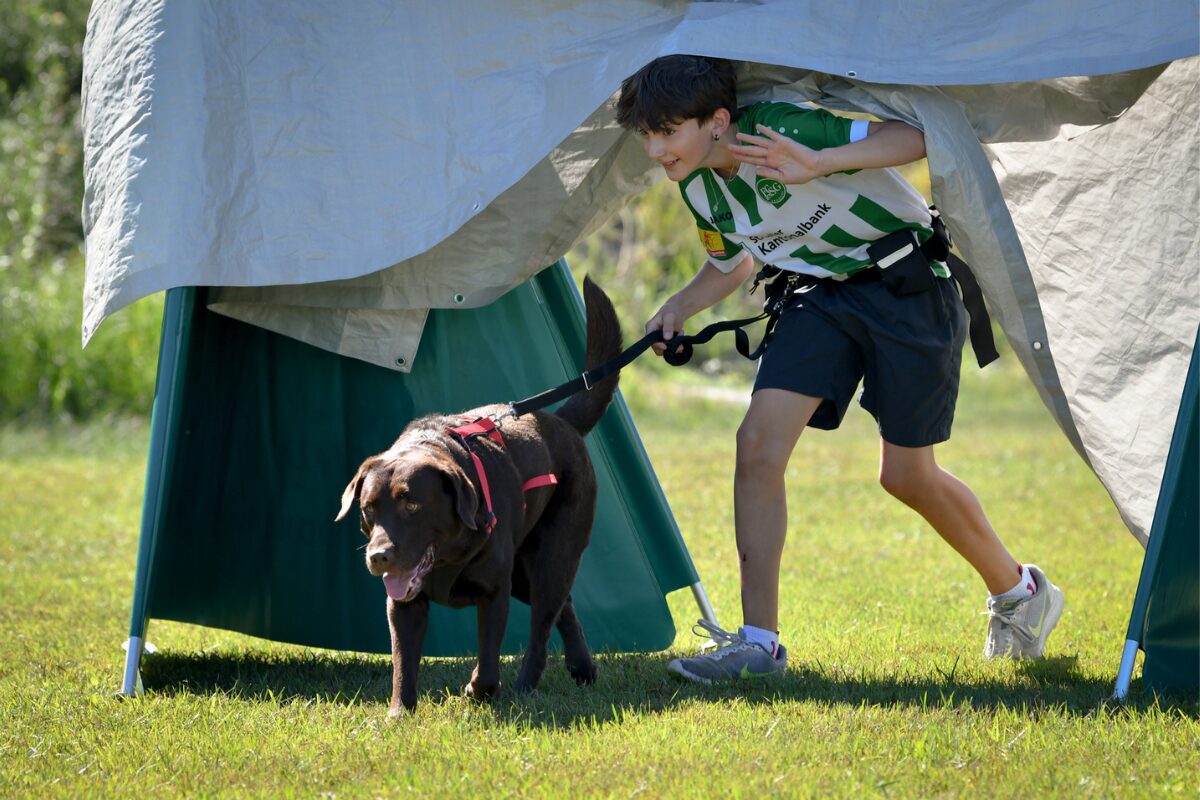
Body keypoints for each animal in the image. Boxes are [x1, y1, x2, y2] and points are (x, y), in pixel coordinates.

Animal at [336, 275, 624, 714]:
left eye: (412, 503)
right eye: (368, 509)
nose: (378, 557)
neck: (447, 556)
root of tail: (561, 422)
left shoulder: (493, 592)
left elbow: (488, 666)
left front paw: (477, 689)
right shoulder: (403, 603)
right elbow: (403, 664)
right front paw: (399, 715)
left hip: (552, 558)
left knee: (542, 628)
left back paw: (526, 685)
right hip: (525, 572)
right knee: (566, 607)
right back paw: (582, 668)